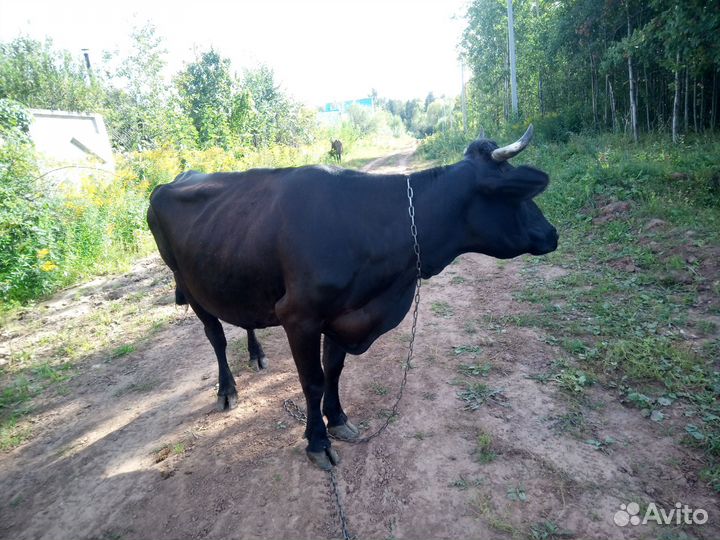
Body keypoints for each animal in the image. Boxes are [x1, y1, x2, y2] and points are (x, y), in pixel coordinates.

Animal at [147, 125, 558, 470]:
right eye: (517, 195)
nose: (552, 233)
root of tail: (173, 180)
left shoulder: (343, 315)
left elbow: (334, 370)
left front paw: (339, 420)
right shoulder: (300, 316)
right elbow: (312, 380)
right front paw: (317, 442)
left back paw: (256, 355)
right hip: (187, 283)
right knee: (215, 336)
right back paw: (227, 391)